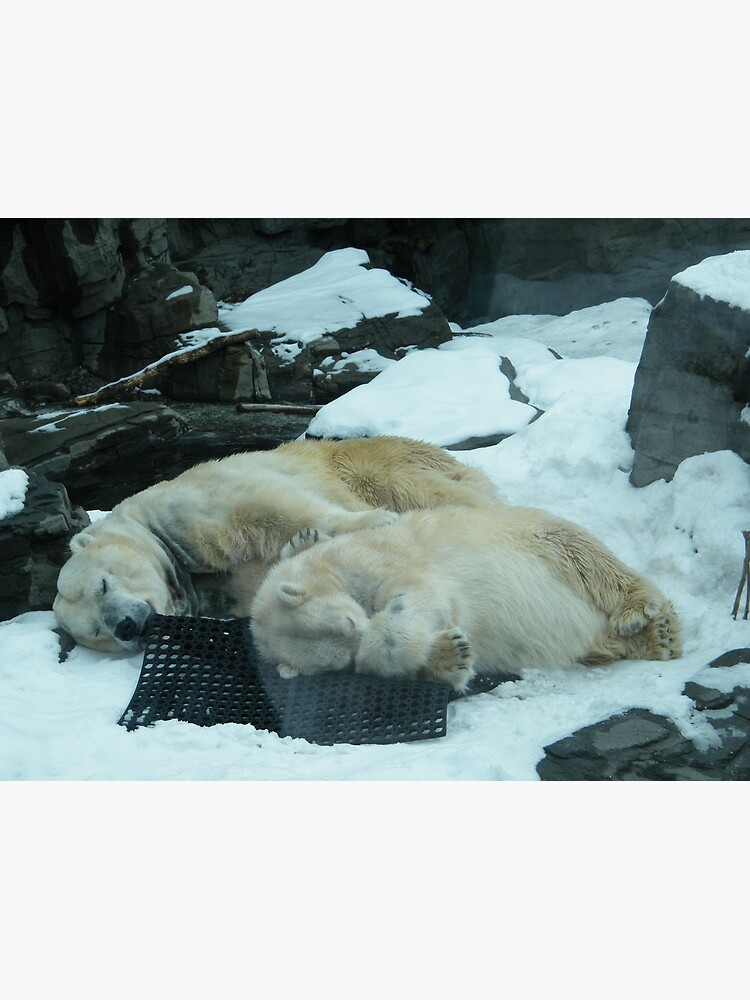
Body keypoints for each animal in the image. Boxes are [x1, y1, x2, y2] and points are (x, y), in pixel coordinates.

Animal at [53, 435, 501, 653]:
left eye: (102, 584)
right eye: (96, 630)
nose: (126, 626)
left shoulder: (182, 509)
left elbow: (268, 506)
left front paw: (372, 521)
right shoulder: (220, 591)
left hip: (374, 462)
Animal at [249, 504, 681, 690]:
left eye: (350, 621)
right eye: (340, 660)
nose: (364, 628)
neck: (328, 568)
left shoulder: (373, 557)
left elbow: (418, 595)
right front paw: (451, 653)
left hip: (538, 536)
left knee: (585, 556)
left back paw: (640, 614)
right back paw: (656, 639)